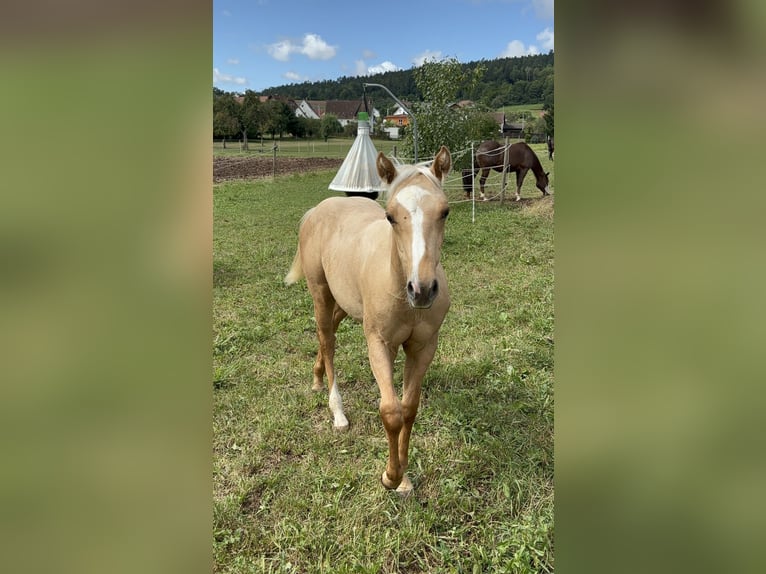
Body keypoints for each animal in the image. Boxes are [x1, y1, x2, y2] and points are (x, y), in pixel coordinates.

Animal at [288, 146, 456, 498]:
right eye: (390, 216)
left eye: (445, 212)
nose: (422, 289)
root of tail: (318, 209)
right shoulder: (379, 342)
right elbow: (391, 411)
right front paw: (390, 476)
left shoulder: (423, 346)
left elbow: (409, 407)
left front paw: (404, 476)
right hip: (321, 293)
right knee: (327, 340)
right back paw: (336, 410)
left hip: (345, 303)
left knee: (328, 334)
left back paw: (316, 376)